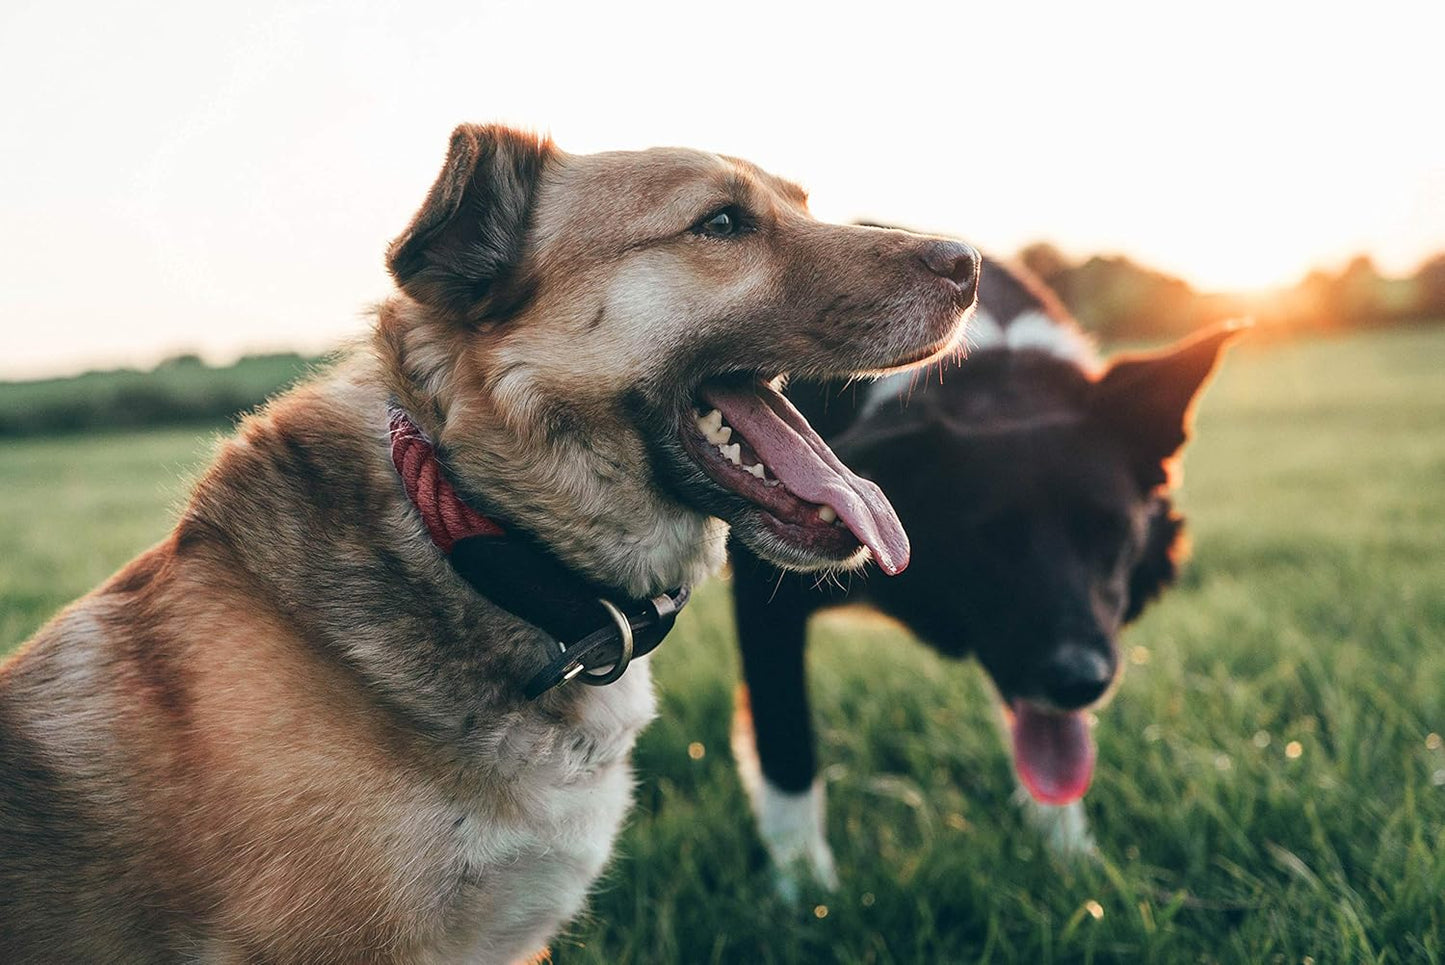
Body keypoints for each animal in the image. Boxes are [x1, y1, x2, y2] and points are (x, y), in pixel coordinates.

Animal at [734, 254, 1242, 889]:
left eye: (1110, 531)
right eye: (988, 541)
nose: (1080, 681)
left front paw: (1072, 862)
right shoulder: (765, 587)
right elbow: (786, 747)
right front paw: (807, 893)